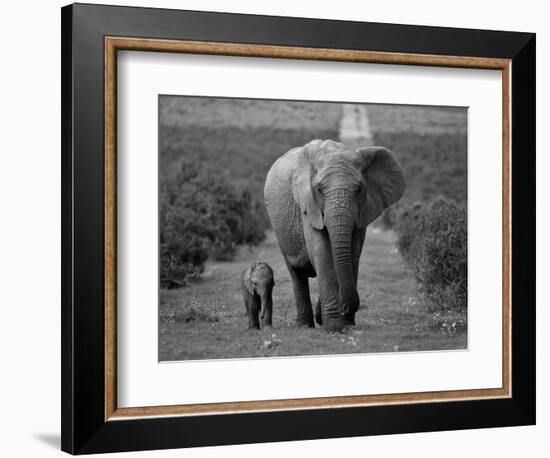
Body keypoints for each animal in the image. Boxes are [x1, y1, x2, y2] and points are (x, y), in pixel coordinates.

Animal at [266, 140, 408, 332]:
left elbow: (353, 253)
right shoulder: (308, 206)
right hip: (280, 230)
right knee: (297, 273)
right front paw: (334, 326)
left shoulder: (363, 211)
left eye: (359, 189)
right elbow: (323, 253)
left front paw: (344, 323)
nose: (345, 307)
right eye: (318, 189)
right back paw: (304, 326)